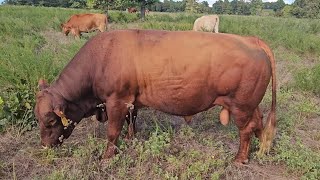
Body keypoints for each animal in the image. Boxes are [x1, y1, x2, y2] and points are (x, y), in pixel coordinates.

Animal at [34, 29, 276, 165]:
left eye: (51, 121)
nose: (44, 146)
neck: (101, 57)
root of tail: (251, 40)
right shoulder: (130, 101)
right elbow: (131, 121)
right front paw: (130, 139)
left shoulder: (116, 101)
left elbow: (112, 132)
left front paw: (107, 157)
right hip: (251, 104)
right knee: (258, 121)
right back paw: (259, 145)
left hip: (241, 105)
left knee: (245, 129)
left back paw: (240, 158)